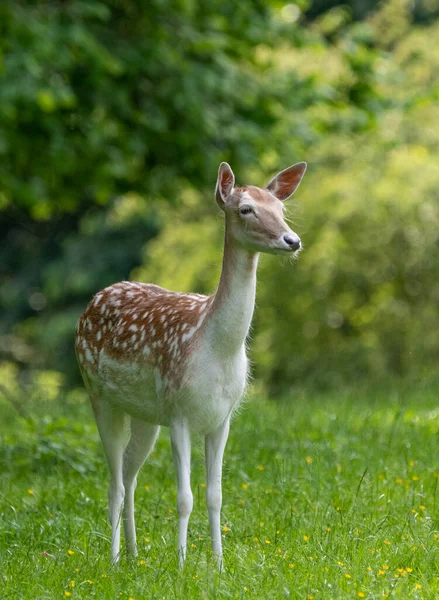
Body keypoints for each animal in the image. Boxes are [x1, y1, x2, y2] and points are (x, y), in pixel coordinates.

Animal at [75, 161, 306, 568]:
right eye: (246, 208)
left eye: (281, 208)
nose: (291, 240)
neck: (215, 348)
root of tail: (93, 300)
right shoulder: (179, 411)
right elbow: (184, 497)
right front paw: (182, 564)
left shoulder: (222, 417)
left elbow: (215, 496)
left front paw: (219, 564)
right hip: (99, 395)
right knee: (115, 481)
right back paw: (115, 558)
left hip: (146, 416)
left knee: (131, 473)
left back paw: (135, 553)